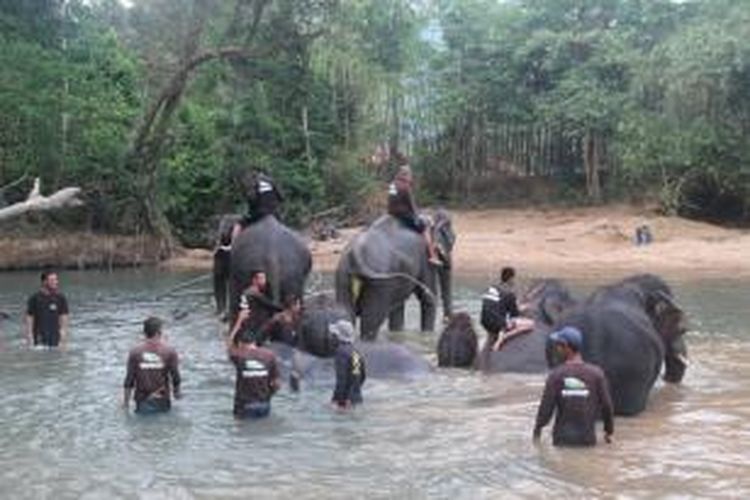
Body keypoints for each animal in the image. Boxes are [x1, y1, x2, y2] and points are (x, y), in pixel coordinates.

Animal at [336, 209, 456, 342]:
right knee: (371, 322)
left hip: (343, 275)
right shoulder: (425, 257)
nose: (446, 321)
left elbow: (398, 307)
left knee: (346, 313)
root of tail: (356, 253)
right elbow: (428, 297)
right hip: (379, 284)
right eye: (452, 240)